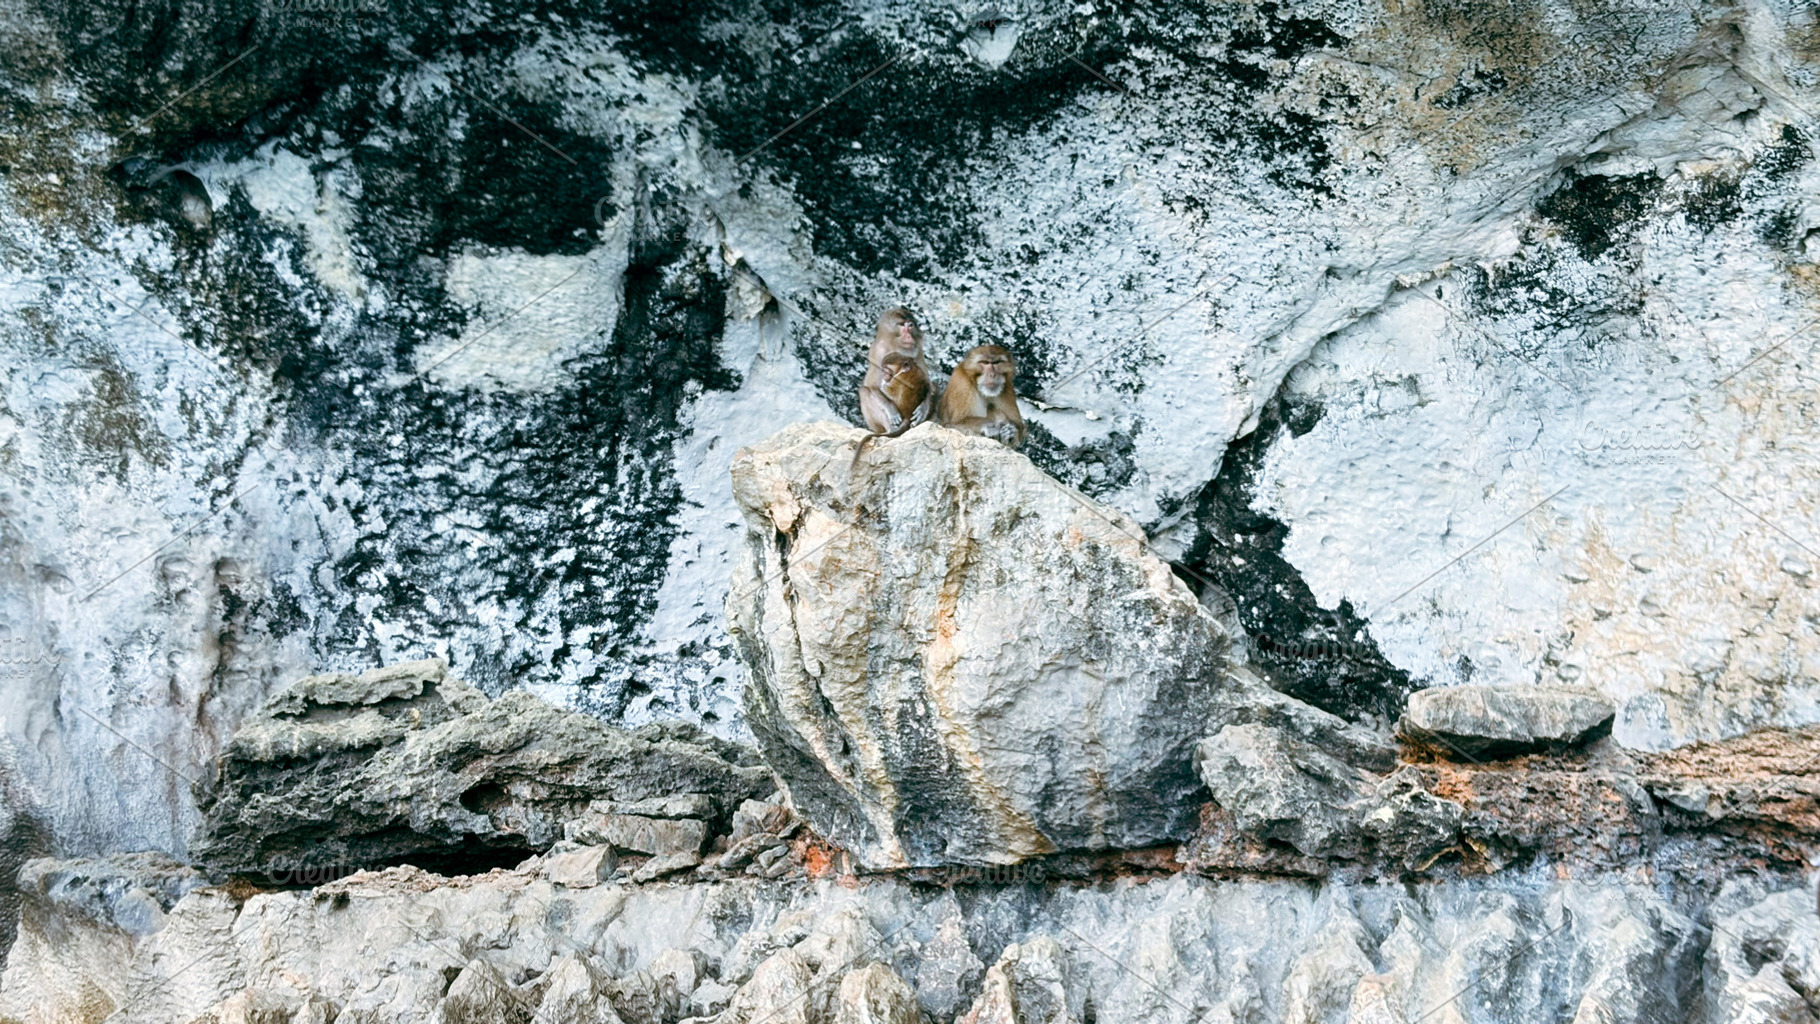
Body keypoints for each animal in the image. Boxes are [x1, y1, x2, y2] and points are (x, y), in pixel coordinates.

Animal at [858, 307, 933, 435]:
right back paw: (892, 429)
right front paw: (891, 409)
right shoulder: (878, 351)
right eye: (902, 326)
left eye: (910, 325)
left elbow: (927, 381)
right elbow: (872, 385)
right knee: (864, 391)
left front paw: (923, 409)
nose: (909, 336)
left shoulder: (918, 348)